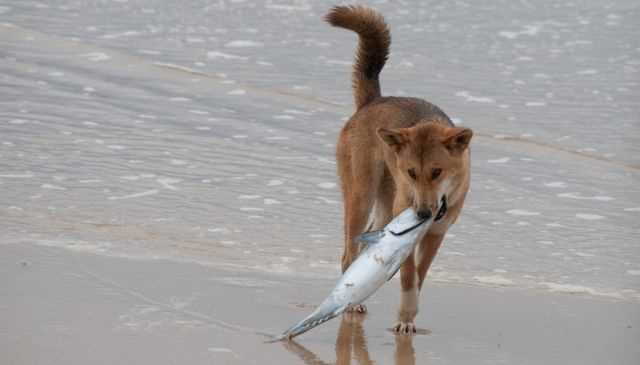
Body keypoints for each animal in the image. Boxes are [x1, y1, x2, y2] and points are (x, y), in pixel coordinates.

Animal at [328, 4, 472, 332]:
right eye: (411, 172)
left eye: (437, 172)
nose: (422, 213)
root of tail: (372, 101)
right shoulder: (406, 229)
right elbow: (408, 276)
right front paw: (405, 317)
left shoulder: (436, 234)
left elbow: (420, 275)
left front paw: (408, 314)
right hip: (362, 197)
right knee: (347, 255)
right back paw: (352, 303)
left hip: (382, 209)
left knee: (364, 247)